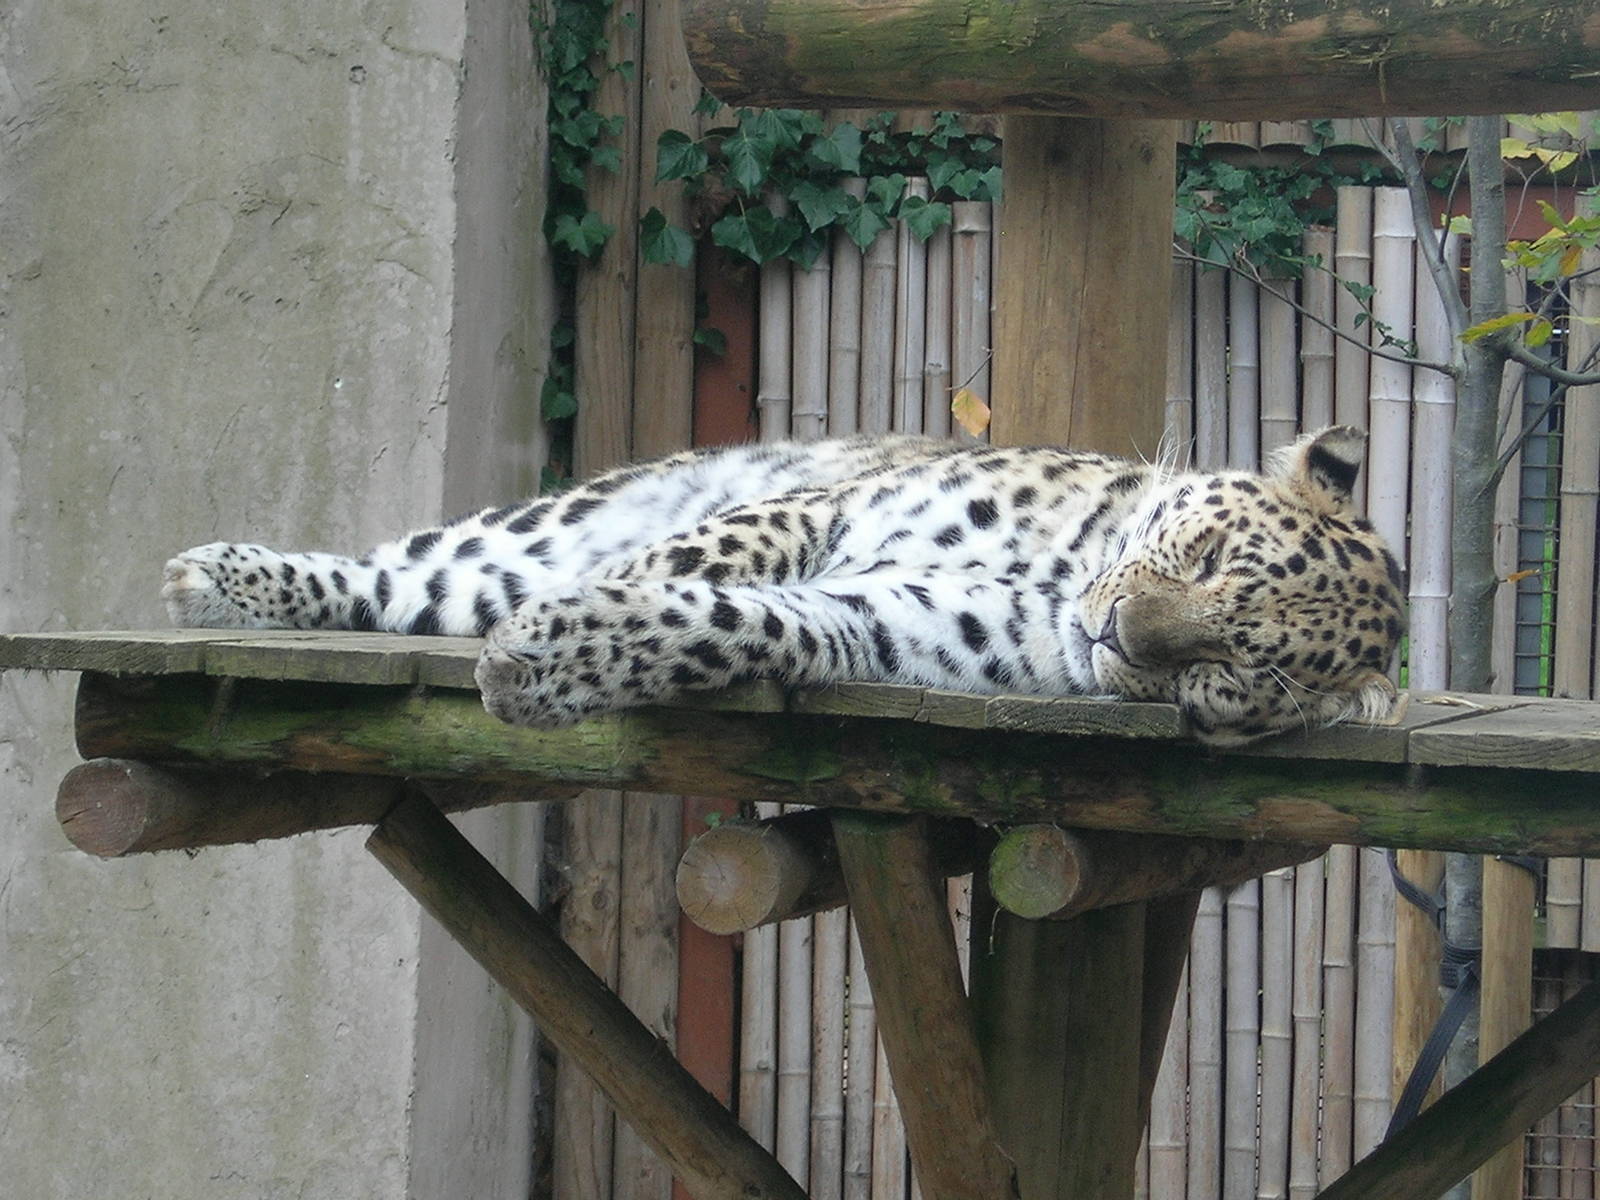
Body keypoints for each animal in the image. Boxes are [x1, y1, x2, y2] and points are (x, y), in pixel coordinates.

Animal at [161, 425, 1405, 747]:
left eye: (1229, 674)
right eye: (1207, 556)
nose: (1116, 635)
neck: (1061, 576)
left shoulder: (898, 619)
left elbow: (734, 621)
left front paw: (557, 660)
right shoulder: (827, 511)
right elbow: (704, 564)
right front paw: (590, 609)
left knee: (417, 596)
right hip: (549, 522)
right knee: (408, 571)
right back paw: (214, 579)